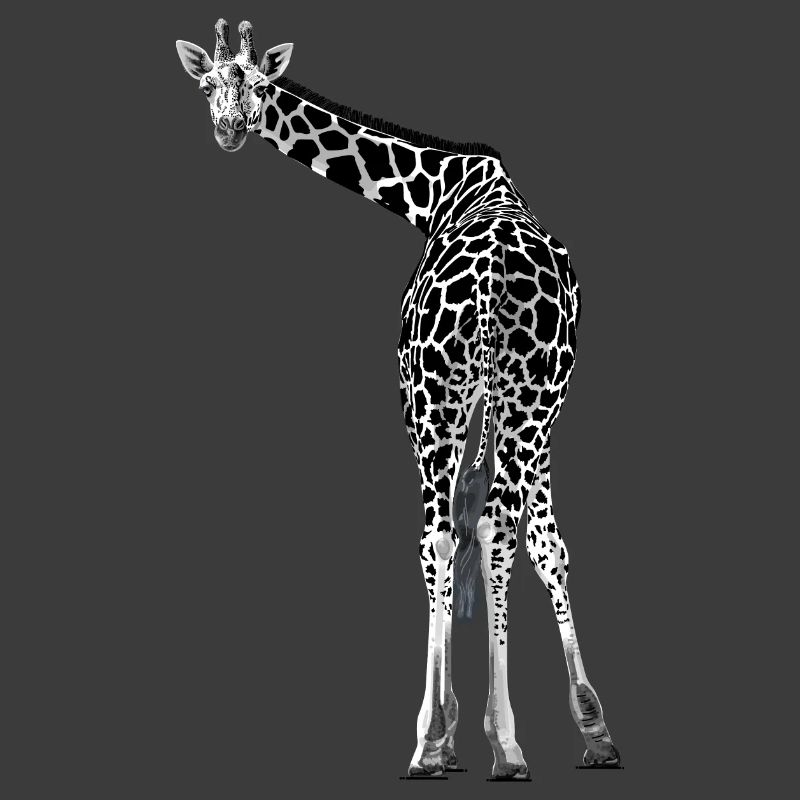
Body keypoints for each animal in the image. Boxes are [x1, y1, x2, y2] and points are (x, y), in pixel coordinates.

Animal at [176, 19, 621, 779]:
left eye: (259, 84)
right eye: (208, 83)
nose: (229, 127)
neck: (441, 188)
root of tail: (494, 278)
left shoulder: (446, 393)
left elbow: (463, 538)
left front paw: (450, 731)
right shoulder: (512, 399)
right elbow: (526, 535)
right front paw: (549, 729)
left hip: (434, 398)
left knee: (440, 536)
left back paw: (436, 742)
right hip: (526, 395)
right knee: (509, 530)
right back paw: (535, 742)